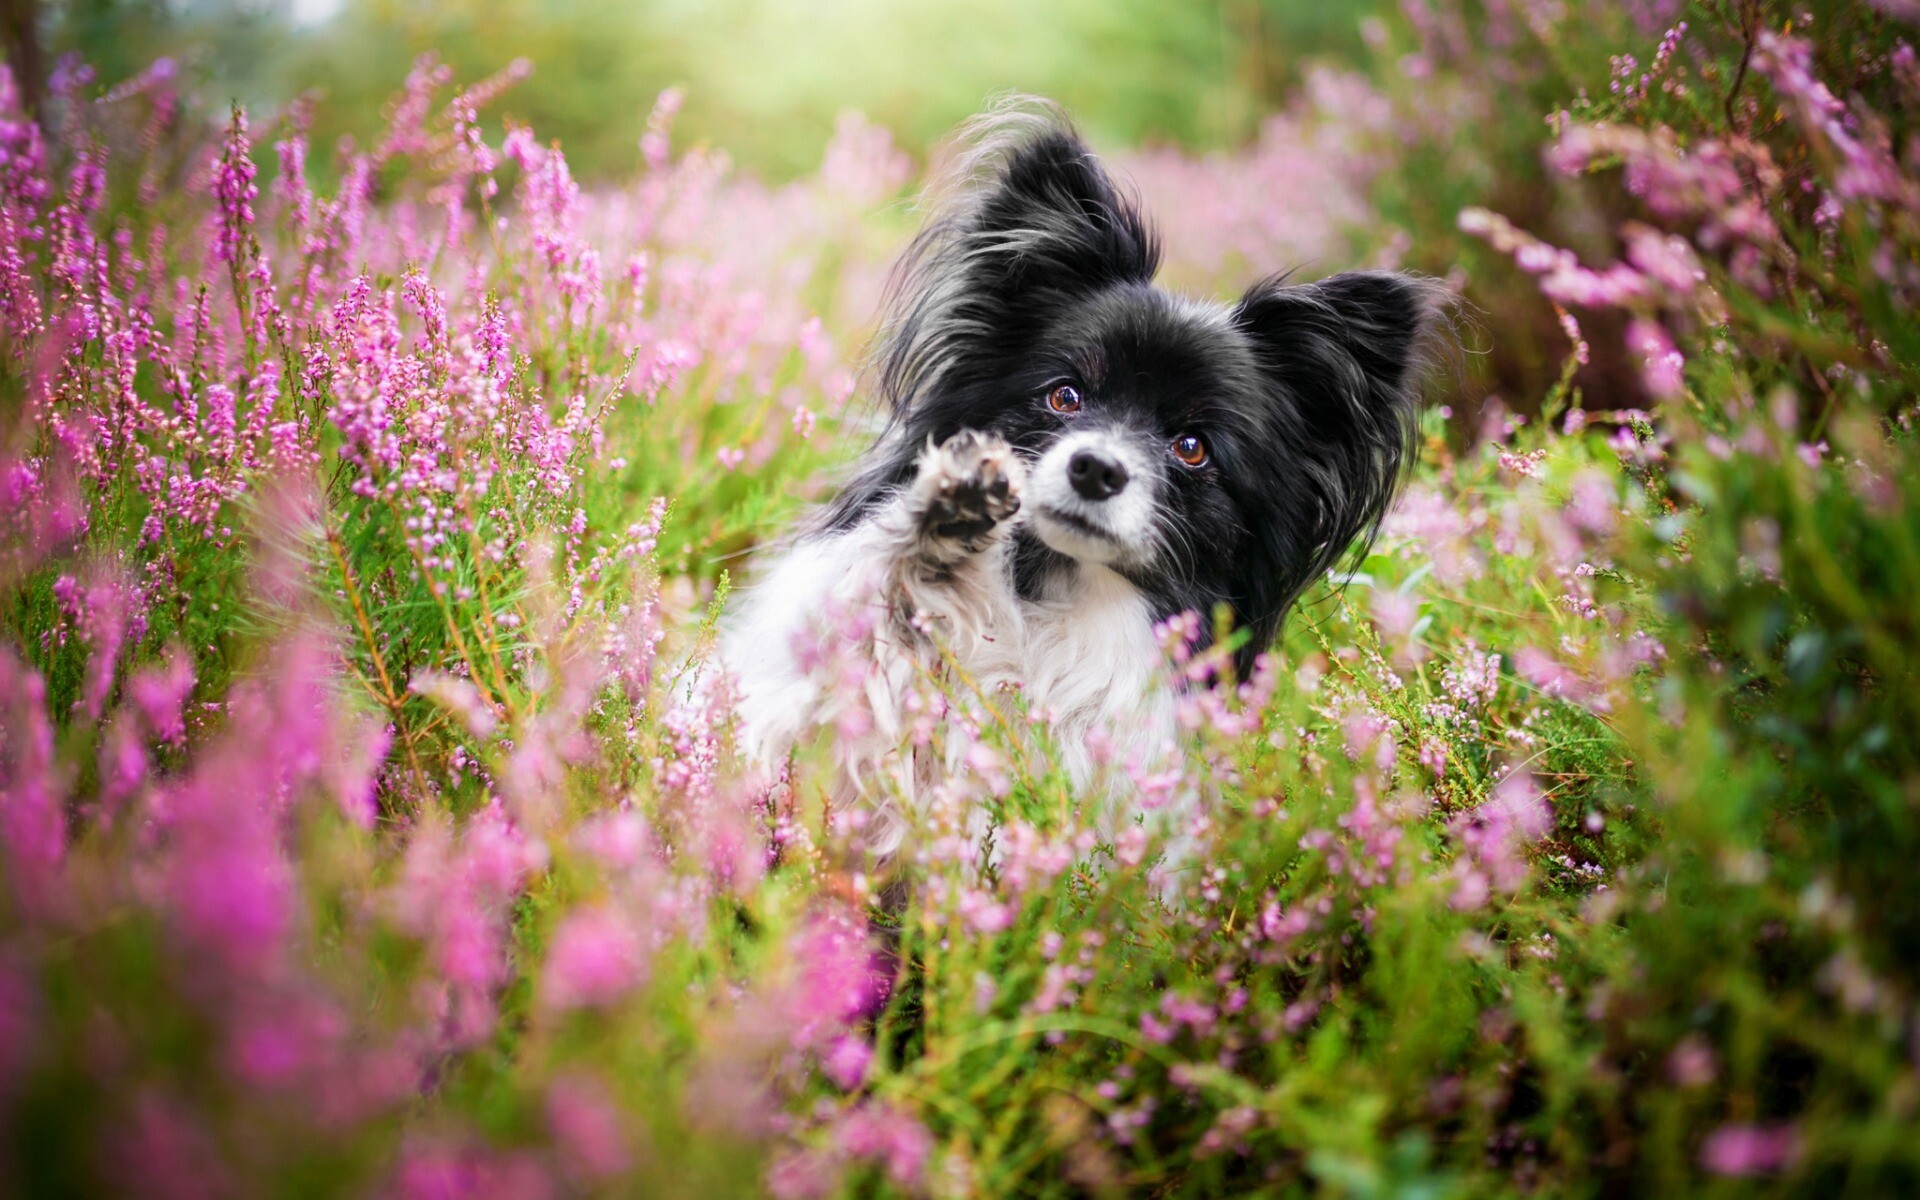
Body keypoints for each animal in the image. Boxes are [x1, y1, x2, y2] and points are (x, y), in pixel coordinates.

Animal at [721, 102, 1443, 864]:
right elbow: (877, 602)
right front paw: (947, 522)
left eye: (1192, 448)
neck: (1054, 595)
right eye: (1064, 396)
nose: (1096, 467)